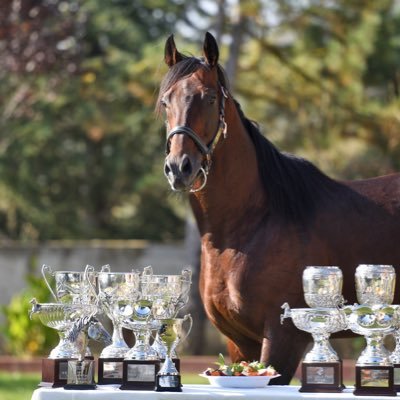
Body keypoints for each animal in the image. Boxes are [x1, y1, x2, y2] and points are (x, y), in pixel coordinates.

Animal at [156, 32, 400, 384]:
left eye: (210, 98)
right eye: (166, 101)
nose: (179, 168)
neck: (252, 225)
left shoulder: (284, 338)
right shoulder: (239, 343)